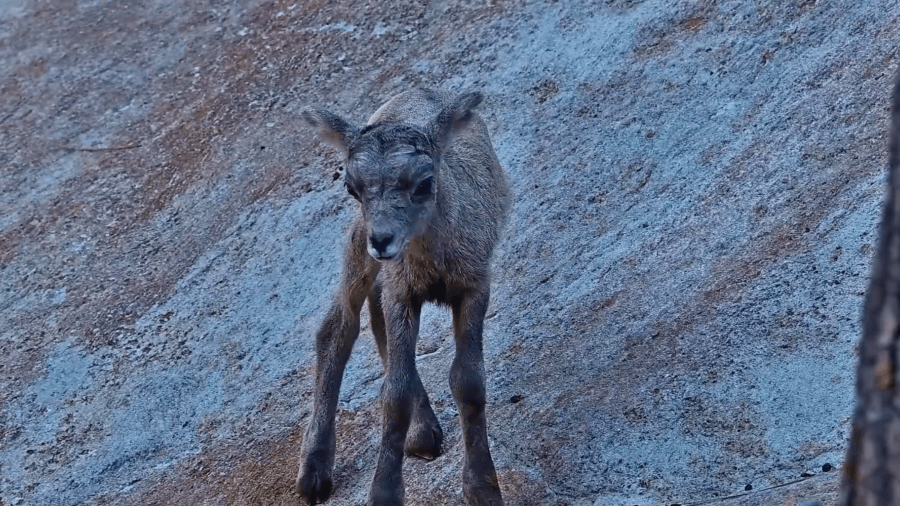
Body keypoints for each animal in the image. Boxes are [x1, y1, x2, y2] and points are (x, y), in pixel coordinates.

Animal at [298, 89, 510, 506]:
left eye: (424, 183)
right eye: (352, 188)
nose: (382, 240)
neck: (436, 263)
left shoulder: (473, 288)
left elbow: (468, 382)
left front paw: (482, 488)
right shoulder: (403, 294)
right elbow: (393, 394)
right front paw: (385, 494)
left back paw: (423, 434)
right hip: (360, 251)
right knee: (338, 328)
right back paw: (313, 475)